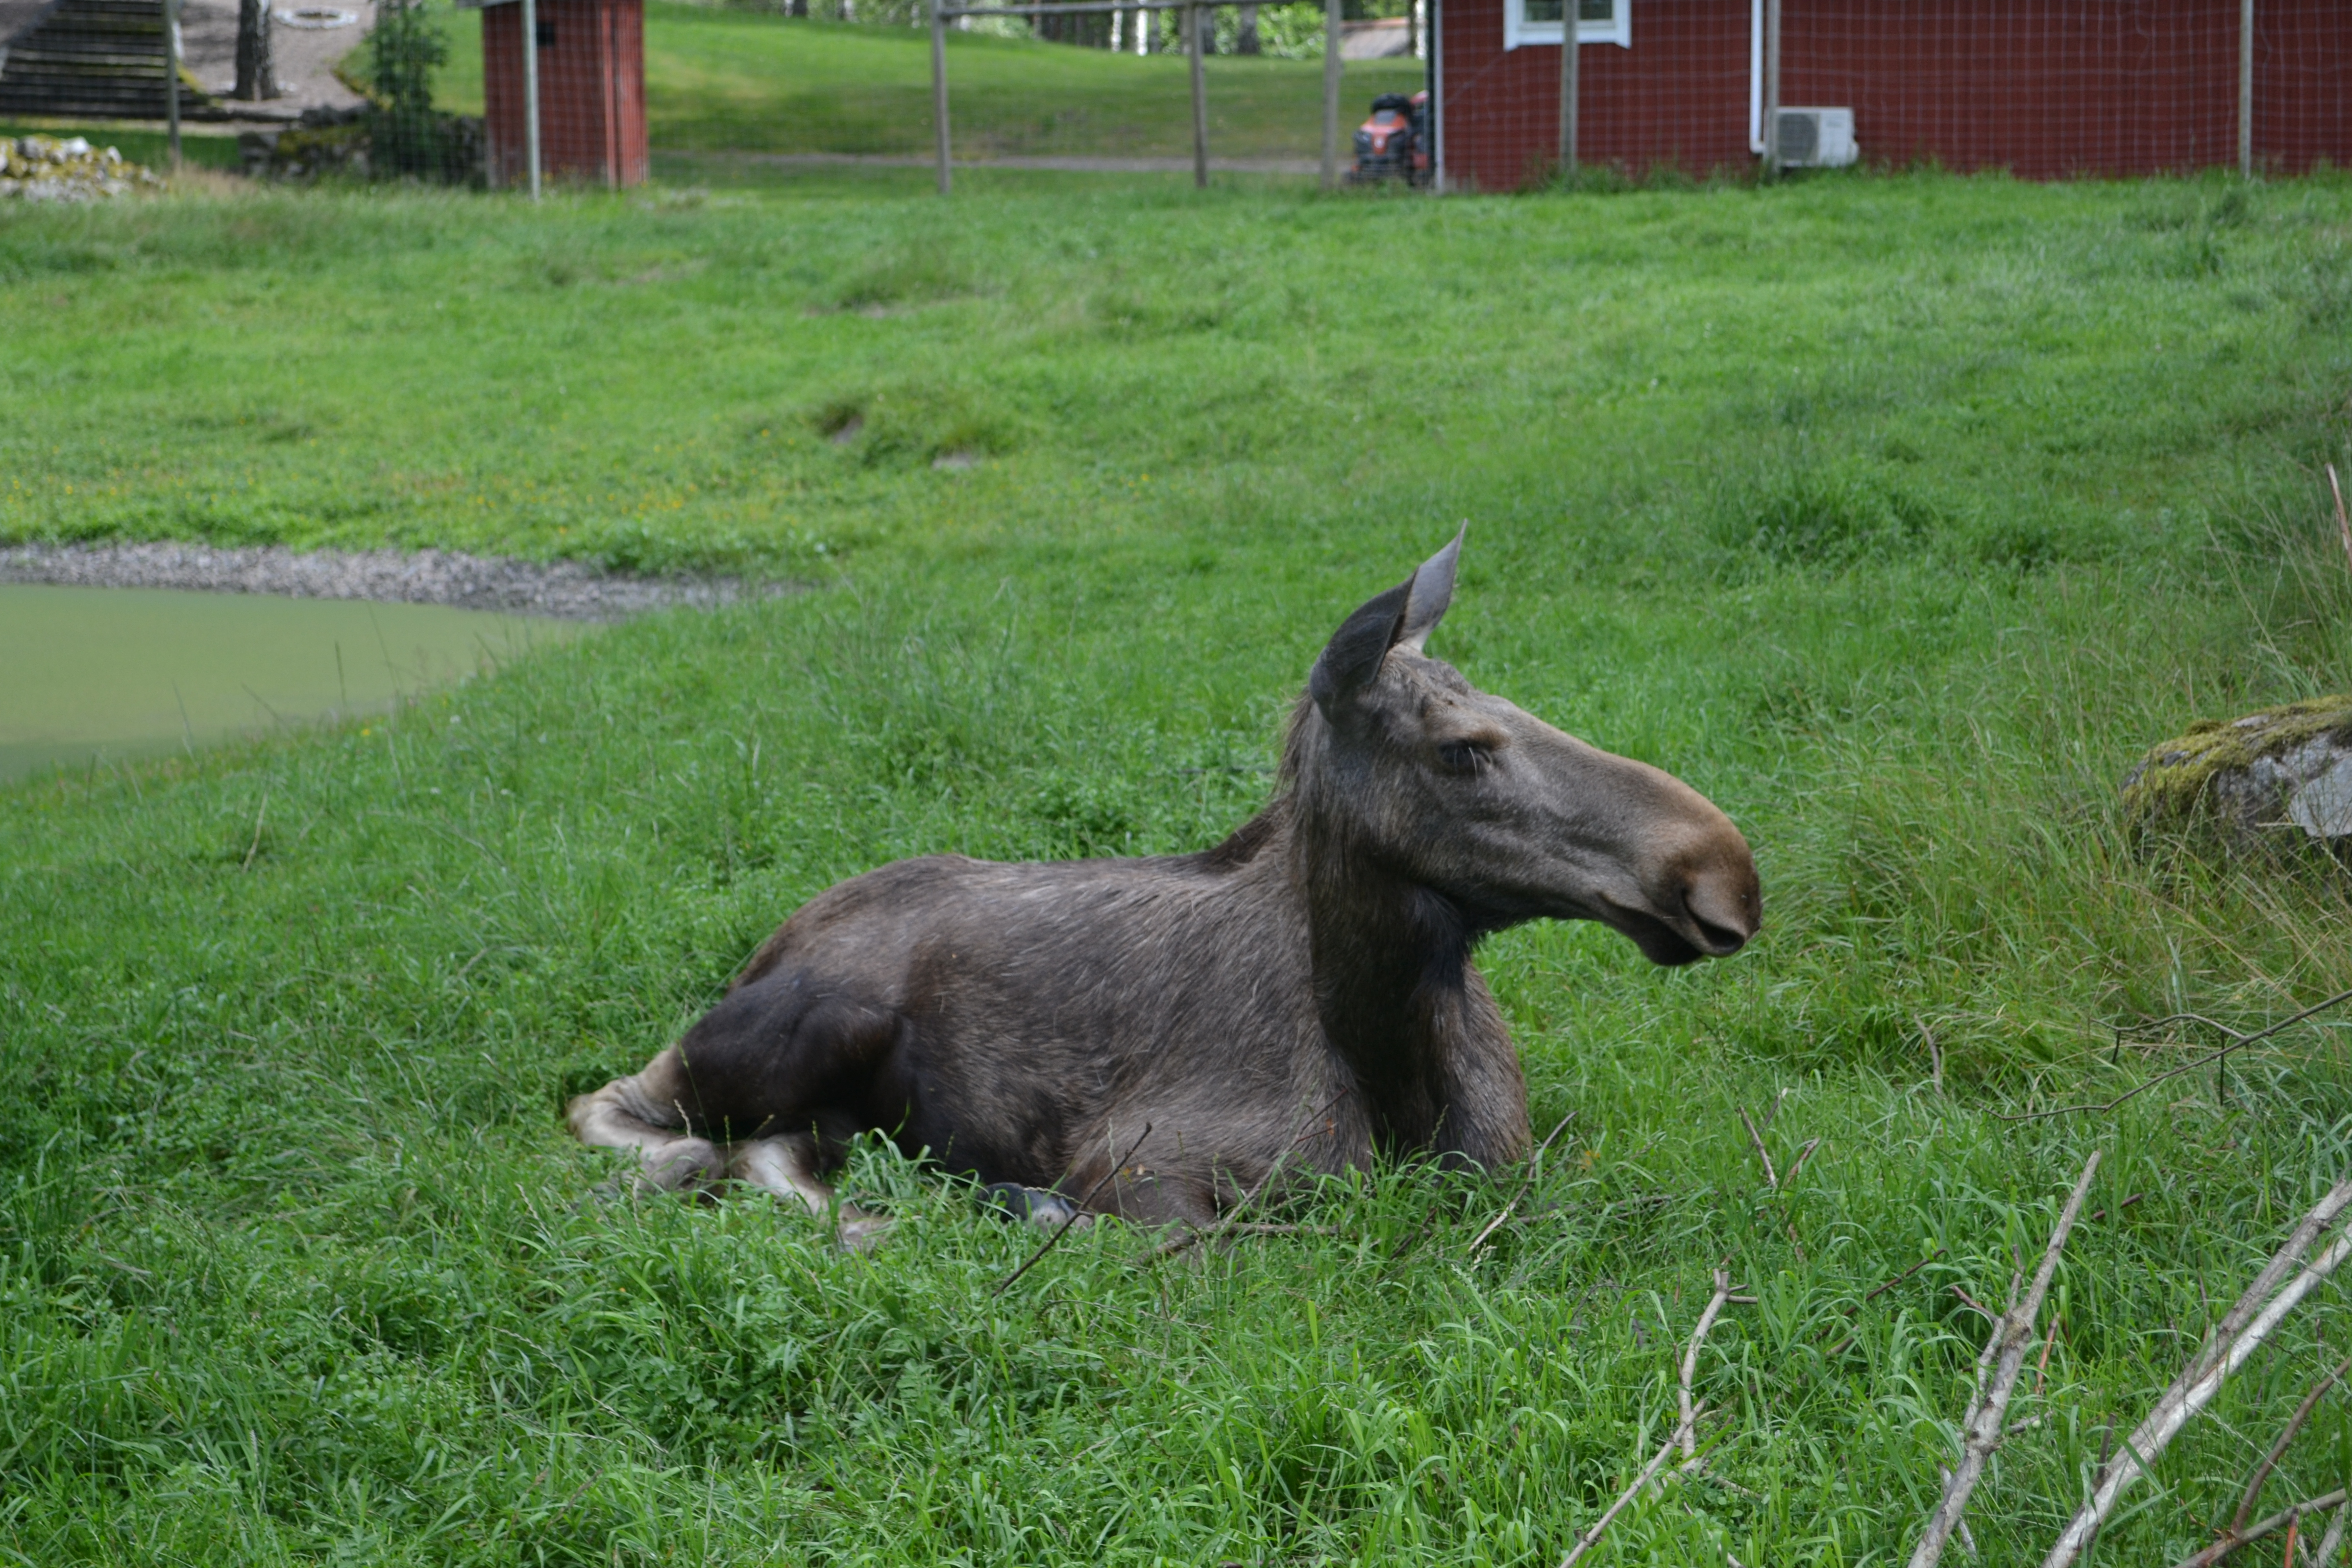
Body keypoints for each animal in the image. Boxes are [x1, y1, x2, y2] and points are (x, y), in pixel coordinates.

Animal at [564, 533, 1750, 1241]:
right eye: (1461, 749)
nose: (1722, 871)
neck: (1392, 1057)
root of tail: (774, 938)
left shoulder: (1507, 1169)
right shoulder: (1145, 1174)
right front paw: (1014, 1201)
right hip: (799, 1025)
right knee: (626, 1113)